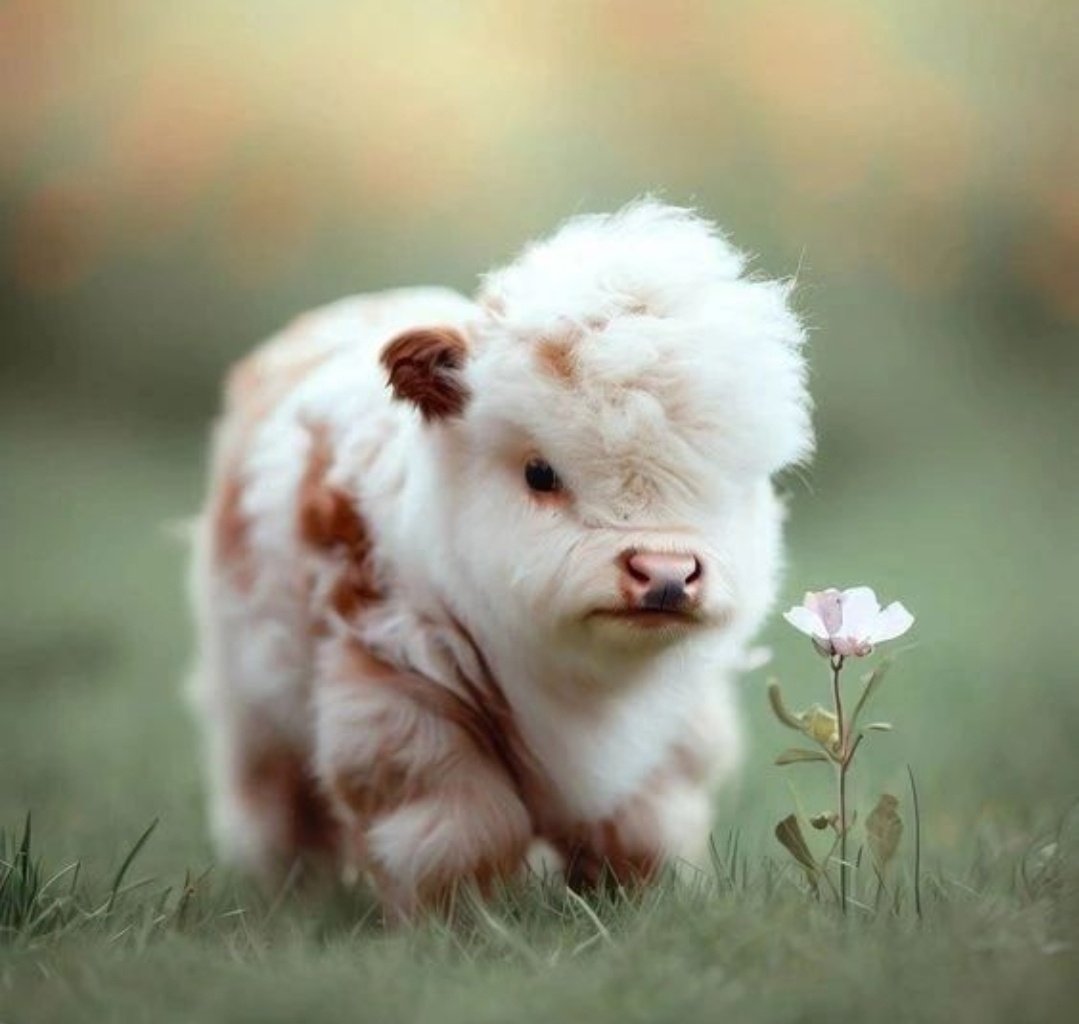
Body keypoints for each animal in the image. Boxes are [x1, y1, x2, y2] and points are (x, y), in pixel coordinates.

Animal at [187, 200, 812, 917]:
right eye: (539, 472)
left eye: (727, 476)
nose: (664, 573)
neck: (581, 688)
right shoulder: (399, 699)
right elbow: (460, 831)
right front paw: (460, 922)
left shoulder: (670, 738)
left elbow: (642, 830)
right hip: (253, 710)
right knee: (279, 810)